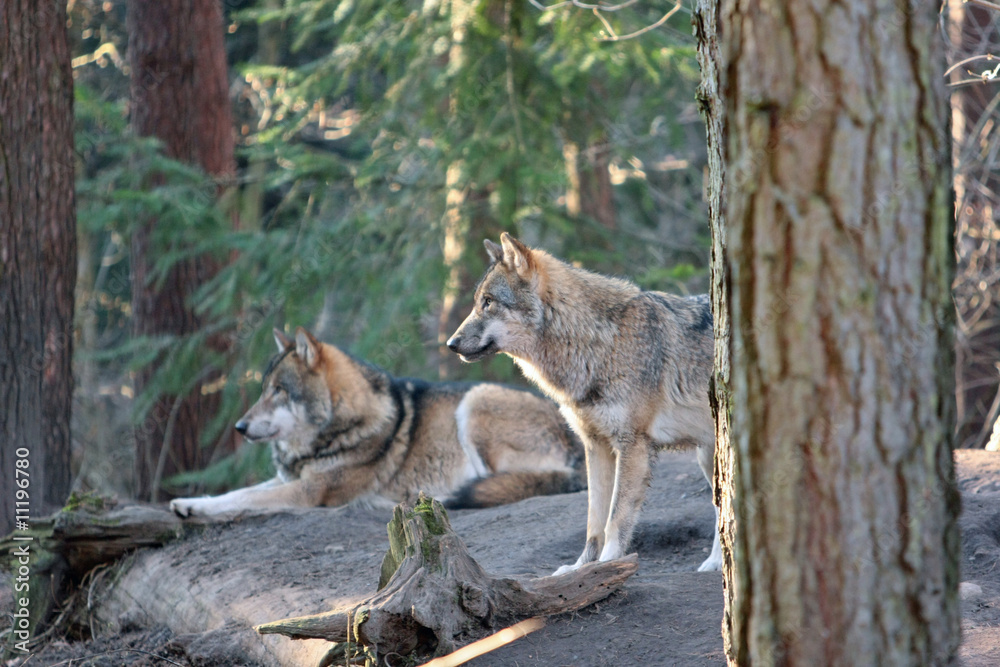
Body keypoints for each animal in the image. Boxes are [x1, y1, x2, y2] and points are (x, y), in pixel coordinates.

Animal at [170, 326, 584, 517]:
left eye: (279, 391)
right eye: (262, 390)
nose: (239, 427)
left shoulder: (309, 491)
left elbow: (247, 498)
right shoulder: (289, 478)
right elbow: (236, 492)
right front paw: (189, 503)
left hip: (474, 403)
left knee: (502, 484)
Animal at [447, 233, 719, 574]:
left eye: (488, 302)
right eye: (477, 302)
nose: (451, 344)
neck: (597, 341)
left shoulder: (633, 446)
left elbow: (615, 519)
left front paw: (608, 564)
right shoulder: (596, 445)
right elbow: (594, 523)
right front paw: (582, 568)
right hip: (707, 456)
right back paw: (716, 563)